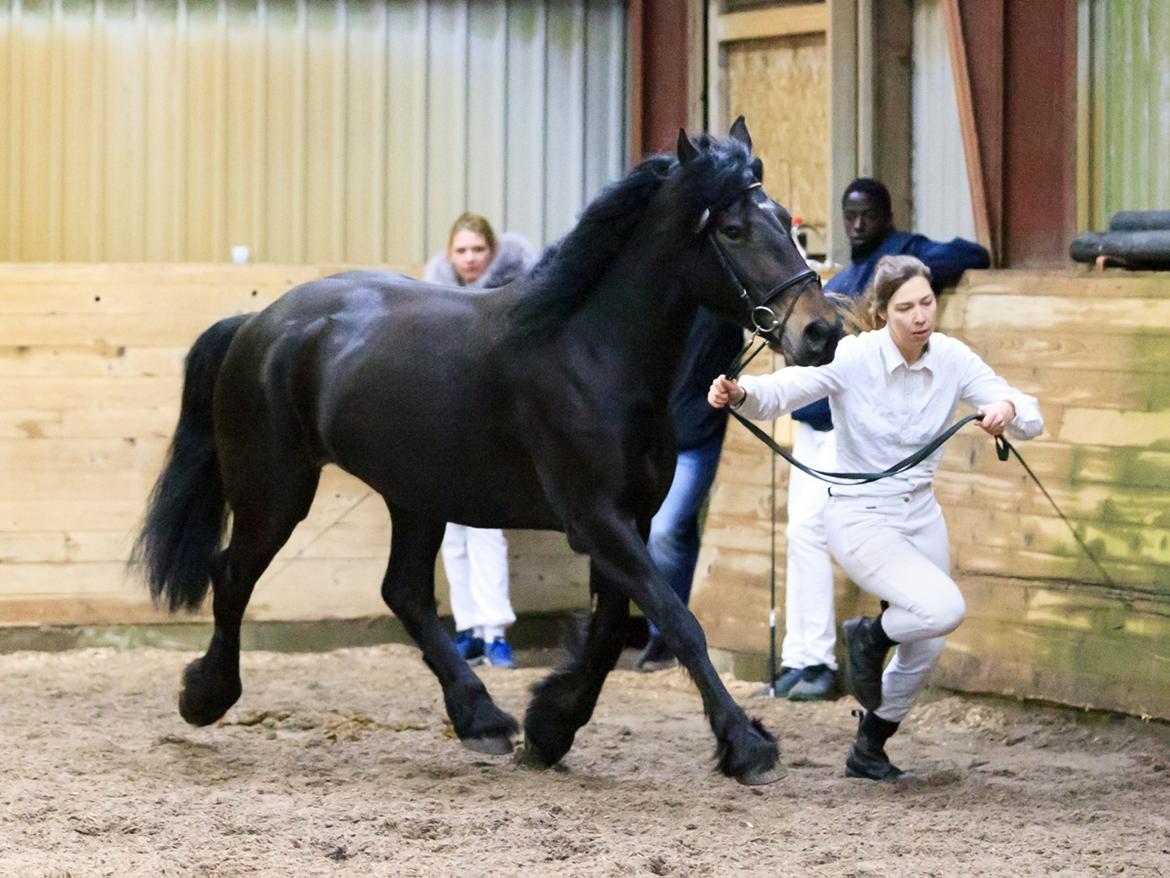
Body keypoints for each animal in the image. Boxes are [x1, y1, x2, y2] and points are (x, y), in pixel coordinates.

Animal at [136, 117, 842, 782]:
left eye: (785, 219)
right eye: (733, 229)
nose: (822, 331)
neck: (591, 353)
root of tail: (256, 325)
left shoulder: (631, 520)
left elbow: (612, 630)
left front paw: (551, 726)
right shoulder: (597, 520)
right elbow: (676, 619)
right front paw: (747, 745)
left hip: (414, 496)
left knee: (403, 594)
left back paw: (481, 718)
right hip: (276, 492)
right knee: (232, 574)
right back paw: (205, 695)